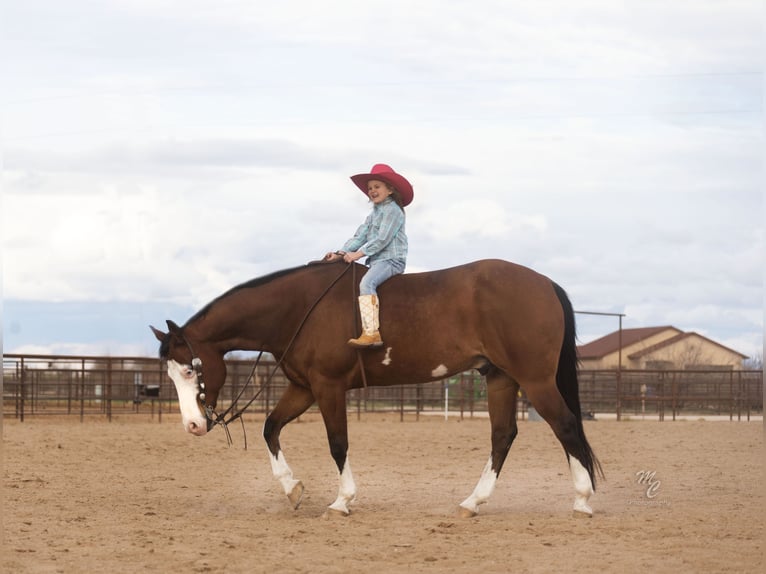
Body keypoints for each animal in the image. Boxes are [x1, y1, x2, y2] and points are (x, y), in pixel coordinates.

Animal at [152, 258, 608, 520]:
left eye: (191, 369)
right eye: (170, 375)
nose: (193, 425)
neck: (297, 309)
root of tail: (545, 283)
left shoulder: (328, 387)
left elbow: (338, 443)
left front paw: (342, 501)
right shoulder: (304, 387)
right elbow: (270, 428)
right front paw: (293, 490)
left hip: (534, 379)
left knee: (566, 426)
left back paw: (583, 500)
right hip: (500, 378)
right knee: (502, 436)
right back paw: (472, 503)